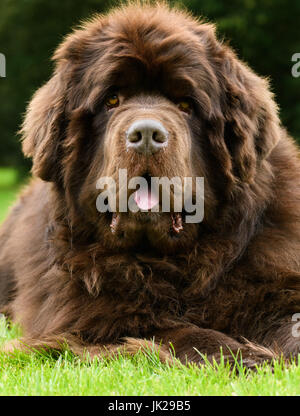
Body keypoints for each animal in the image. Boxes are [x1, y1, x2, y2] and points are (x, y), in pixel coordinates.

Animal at [0, 3, 300, 368]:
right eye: (111, 100)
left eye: (186, 105)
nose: (145, 134)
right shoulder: (95, 319)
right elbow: (177, 331)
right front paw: (246, 356)